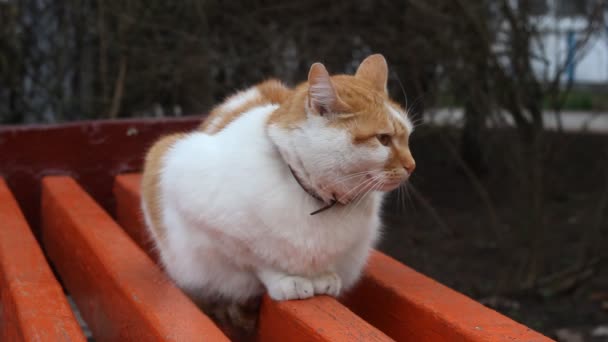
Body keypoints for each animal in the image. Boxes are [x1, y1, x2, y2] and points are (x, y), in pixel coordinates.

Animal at [140, 53, 416, 334]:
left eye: (407, 137)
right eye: (383, 139)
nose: (412, 165)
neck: (316, 198)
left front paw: (323, 276)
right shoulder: (210, 222)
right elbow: (258, 260)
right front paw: (287, 279)